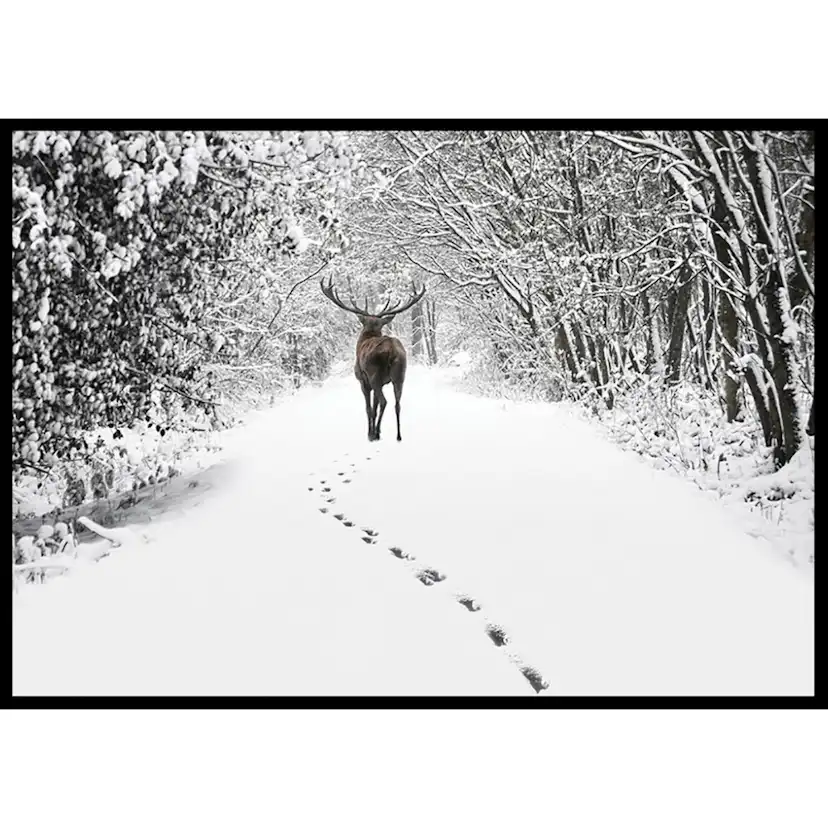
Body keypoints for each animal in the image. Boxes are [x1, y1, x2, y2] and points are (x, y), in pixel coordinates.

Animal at [321, 277, 426, 442]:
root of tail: (392, 350)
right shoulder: (383, 382)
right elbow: (375, 407)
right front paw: (378, 430)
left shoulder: (363, 381)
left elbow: (369, 408)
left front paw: (370, 433)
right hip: (400, 374)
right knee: (397, 403)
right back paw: (398, 435)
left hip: (374, 374)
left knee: (384, 402)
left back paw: (374, 434)